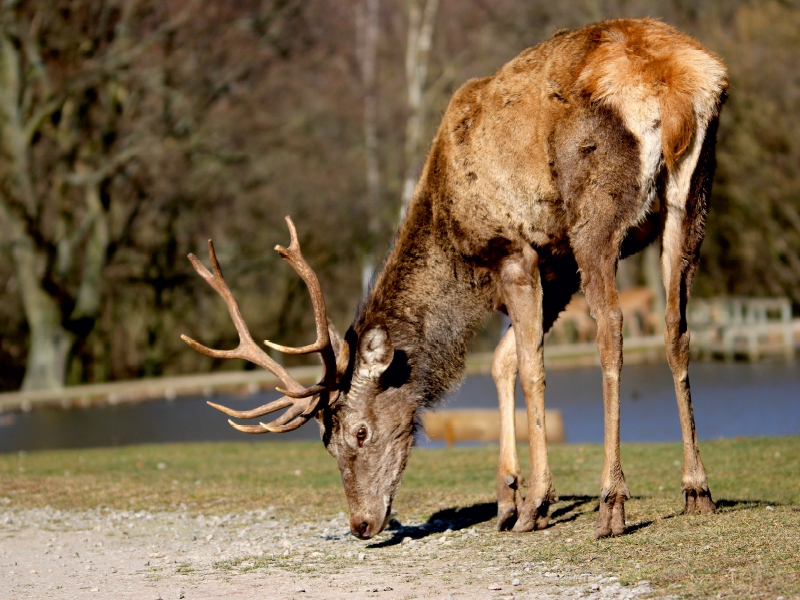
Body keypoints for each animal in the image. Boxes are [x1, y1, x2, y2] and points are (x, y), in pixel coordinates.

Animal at [181, 18, 724, 540]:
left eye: (358, 432)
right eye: (327, 443)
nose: (360, 525)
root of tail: (680, 88)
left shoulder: (514, 249)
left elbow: (530, 366)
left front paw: (536, 504)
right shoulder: (557, 262)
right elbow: (503, 362)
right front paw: (506, 498)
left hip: (597, 213)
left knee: (611, 327)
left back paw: (612, 503)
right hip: (691, 200)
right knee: (677, 327)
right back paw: (697, 489)